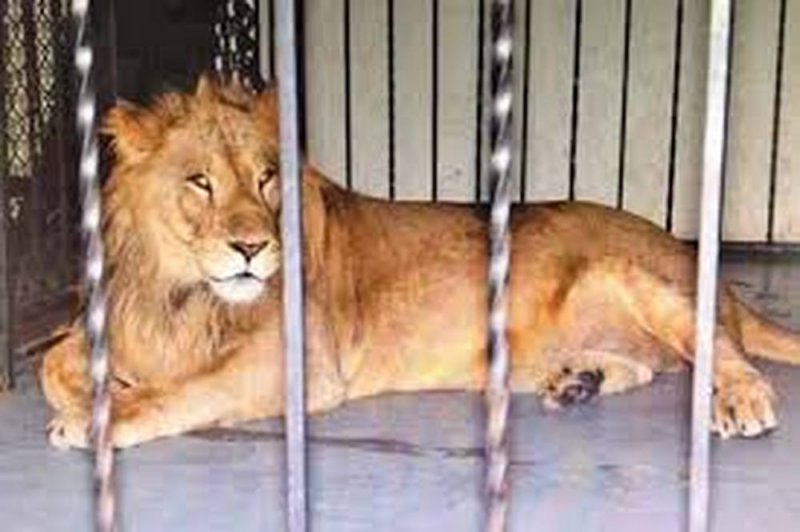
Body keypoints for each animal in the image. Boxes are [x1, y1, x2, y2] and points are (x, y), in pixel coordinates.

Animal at [40, 75, 800, 449]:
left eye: (266, 178)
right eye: (200, 182)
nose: (253, 248)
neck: (181, 289)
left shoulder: (293, 362)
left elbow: (186, 391)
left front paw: (101, 416)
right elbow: (53, 363)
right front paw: (93, 389)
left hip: (637, 275)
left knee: (723, 349)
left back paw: (741, 398)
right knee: (652, 364)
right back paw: (579, 380)